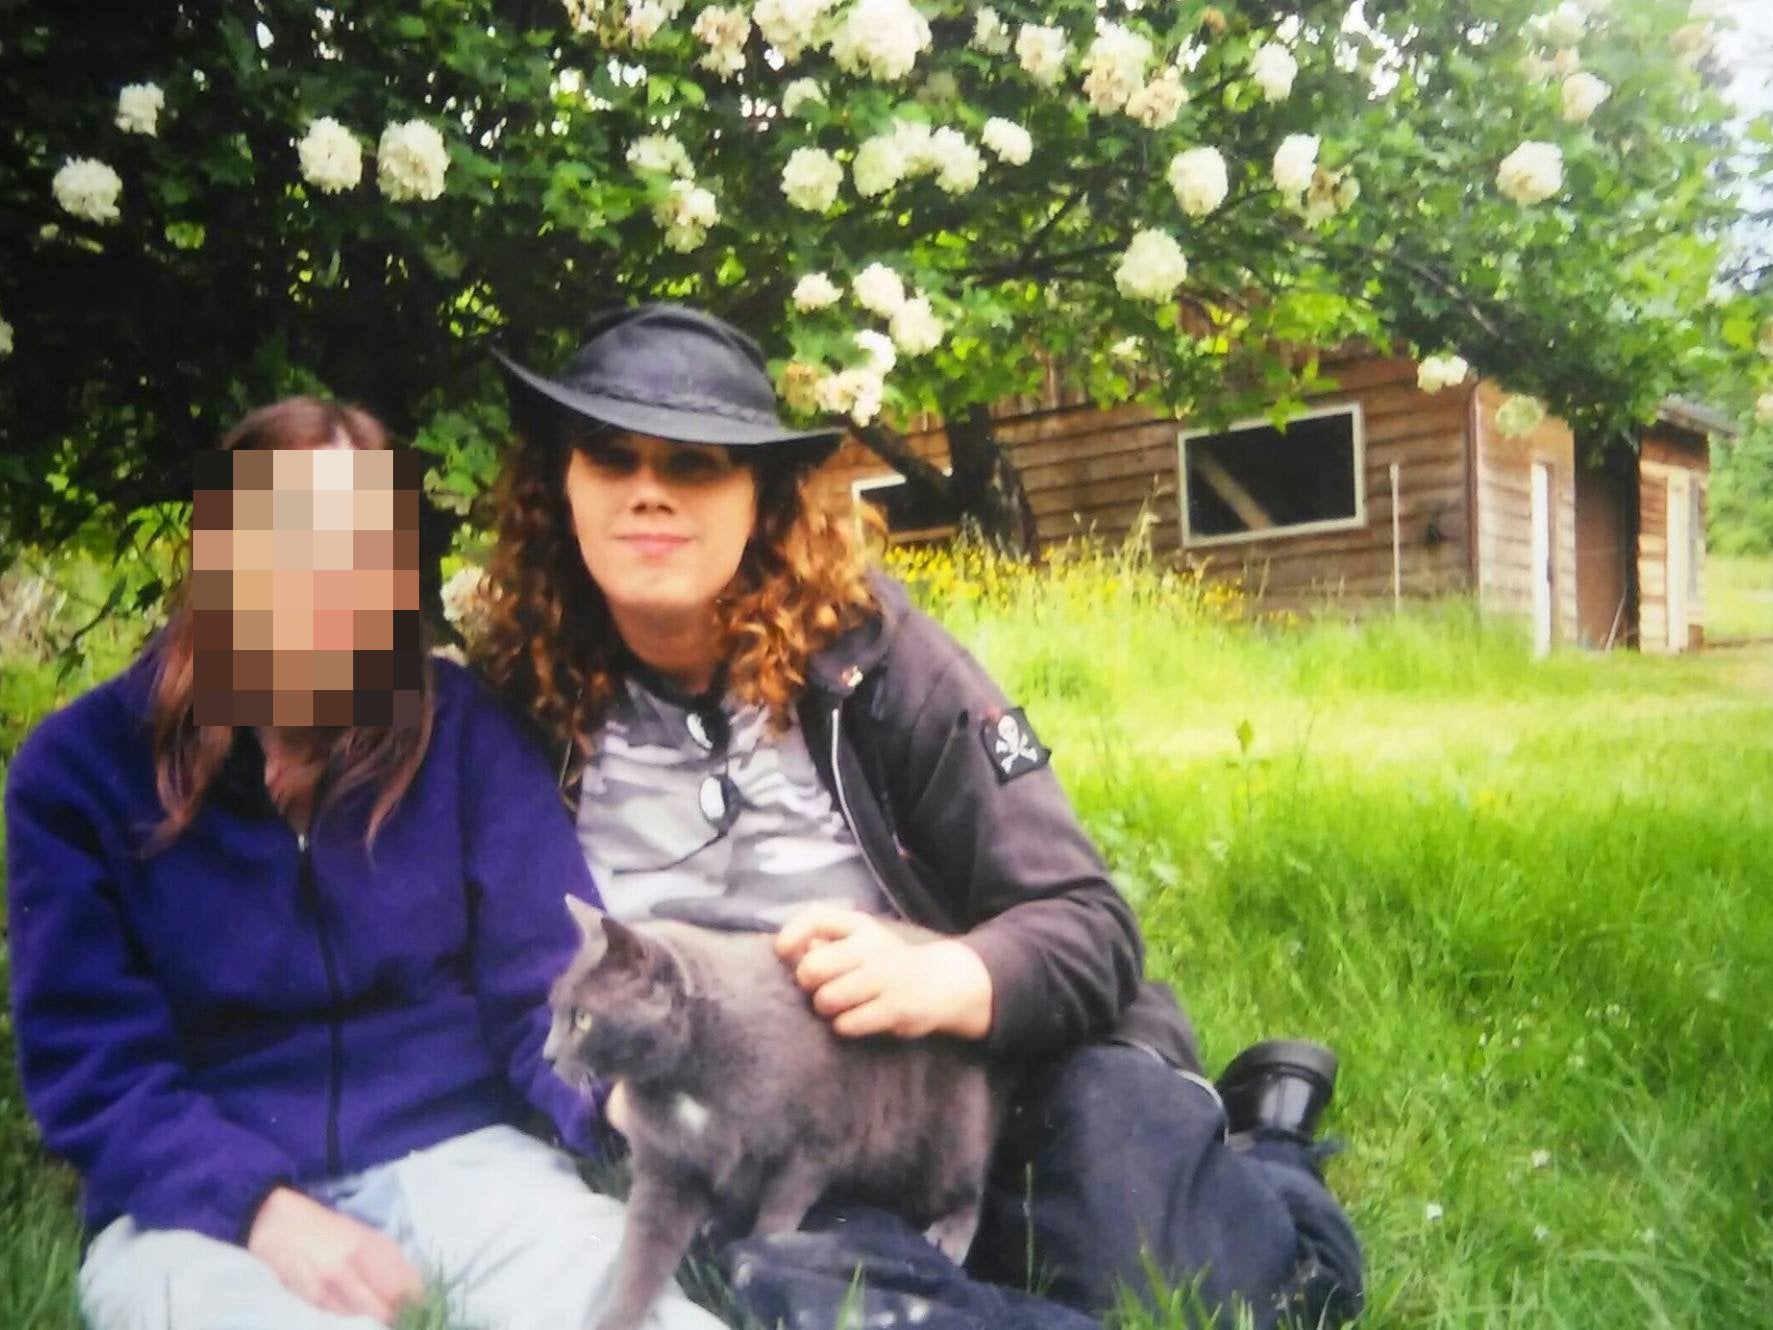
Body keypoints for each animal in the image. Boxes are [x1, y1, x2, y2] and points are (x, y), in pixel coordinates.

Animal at [542, 900, 999, 1330]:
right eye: (554, 1010)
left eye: (582, 1018)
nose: (547, 1055)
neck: (683, 1078)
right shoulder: (667, 1166)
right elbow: (641, 1255)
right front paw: (614, 1319)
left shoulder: (817, 1142)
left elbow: (777, 1217)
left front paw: (759, 1256)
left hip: (945, 1129)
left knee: (969, 1183)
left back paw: (949, 1234)